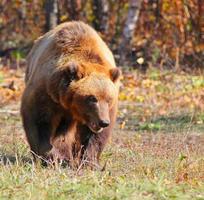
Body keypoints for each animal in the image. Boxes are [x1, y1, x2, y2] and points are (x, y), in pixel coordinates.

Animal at [21, 20, 119, 167]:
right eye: (92, 98)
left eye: (109, 99)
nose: (103, 122)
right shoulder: (46, 93)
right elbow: (38, 121)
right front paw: (50, 156)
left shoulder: (107, 111)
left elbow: (95, 137)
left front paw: (90, 162)